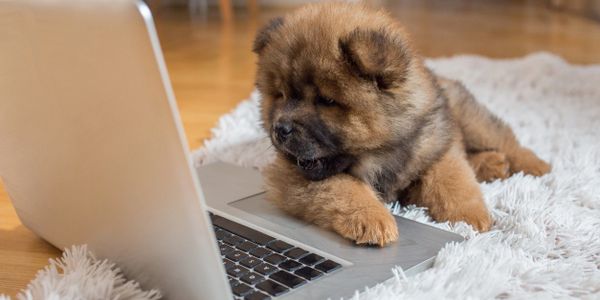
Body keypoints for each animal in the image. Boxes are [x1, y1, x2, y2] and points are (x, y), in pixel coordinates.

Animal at [251, 2, 552, 246]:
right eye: (280, 95)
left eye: (326, 100)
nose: (280, 129)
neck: (379, 153)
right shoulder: (292, 174)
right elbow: (343, 187)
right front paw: (373, 218)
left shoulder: (437, 142)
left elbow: (452, 179)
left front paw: (470, 217)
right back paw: (494, 164)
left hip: (470, 119)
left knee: (504, 139)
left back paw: (534, 165)